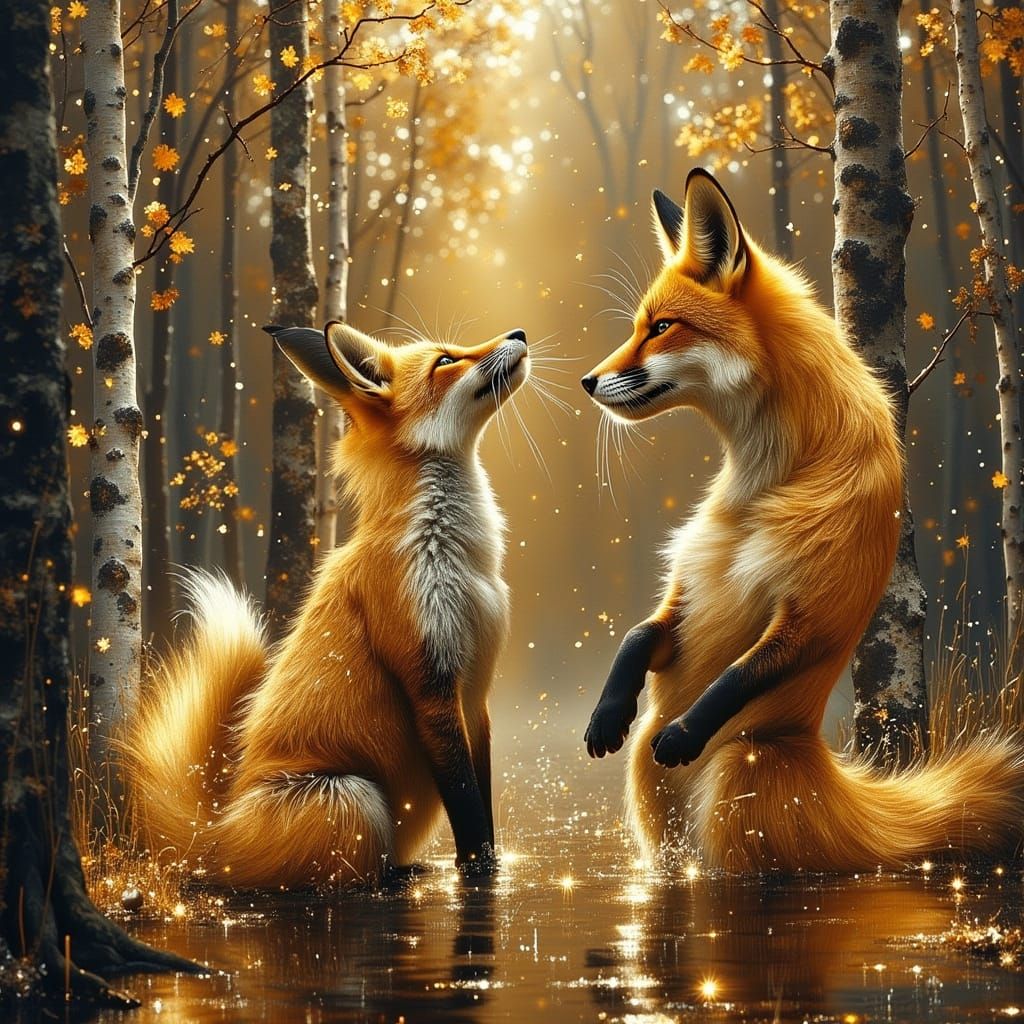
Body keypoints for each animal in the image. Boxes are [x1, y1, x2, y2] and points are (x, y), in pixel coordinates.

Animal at [126, 320, 530, 887]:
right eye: (446, 360)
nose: (519, 332)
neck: (457, 558)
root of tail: (214, 835)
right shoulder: (430, 681)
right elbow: (467, 804)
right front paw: (480, 872)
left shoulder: (476, 694)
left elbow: (483, 796)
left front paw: (491, 862)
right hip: (353, 797)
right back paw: (394, 877)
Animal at [582, 168, 1024, 872]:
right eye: (639, 326)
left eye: (662, 327)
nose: (588, 381)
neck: (759, 488)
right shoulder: (690, 588)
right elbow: (637, 634)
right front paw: (607, 712)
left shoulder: (815, 609)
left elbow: (738, 674)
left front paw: (684, 731)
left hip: (736, 774)